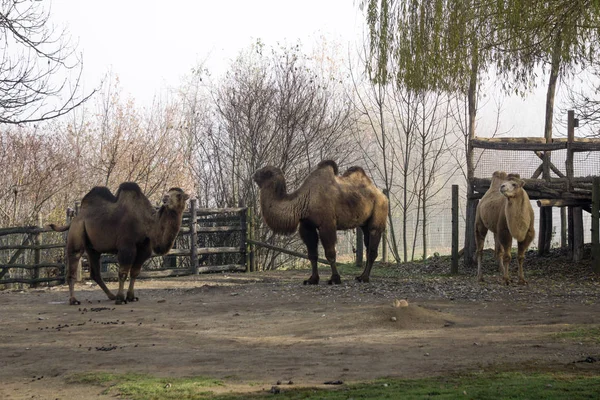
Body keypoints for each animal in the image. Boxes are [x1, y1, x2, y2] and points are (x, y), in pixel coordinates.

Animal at [50, 183, 189, 304]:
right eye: (169, 194)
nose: (165, 198)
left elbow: (135, 272)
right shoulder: (126, 247)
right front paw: (121, 298)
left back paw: (111, 296)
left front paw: (131, 297)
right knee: (74, 258)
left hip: (93, 248)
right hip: (77, 231)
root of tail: (74, 218)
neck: (147, 223)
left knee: (95, 272)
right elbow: (123, 273)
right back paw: (74, 300)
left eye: (179, 195)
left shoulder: (144, 248)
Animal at [253, 159, 390, 284]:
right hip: (364, 224)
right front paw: (312, 279)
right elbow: (312, 255)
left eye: (265, 172)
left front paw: (335, 279)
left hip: (378, 213)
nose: (254, 174)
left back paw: (365, 278)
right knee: (368, 245)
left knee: (372, 246)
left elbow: (330, 253)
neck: (303, 201)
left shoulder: (326, 225)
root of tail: (383, 195)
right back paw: (361, 276)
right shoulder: (307, 226)